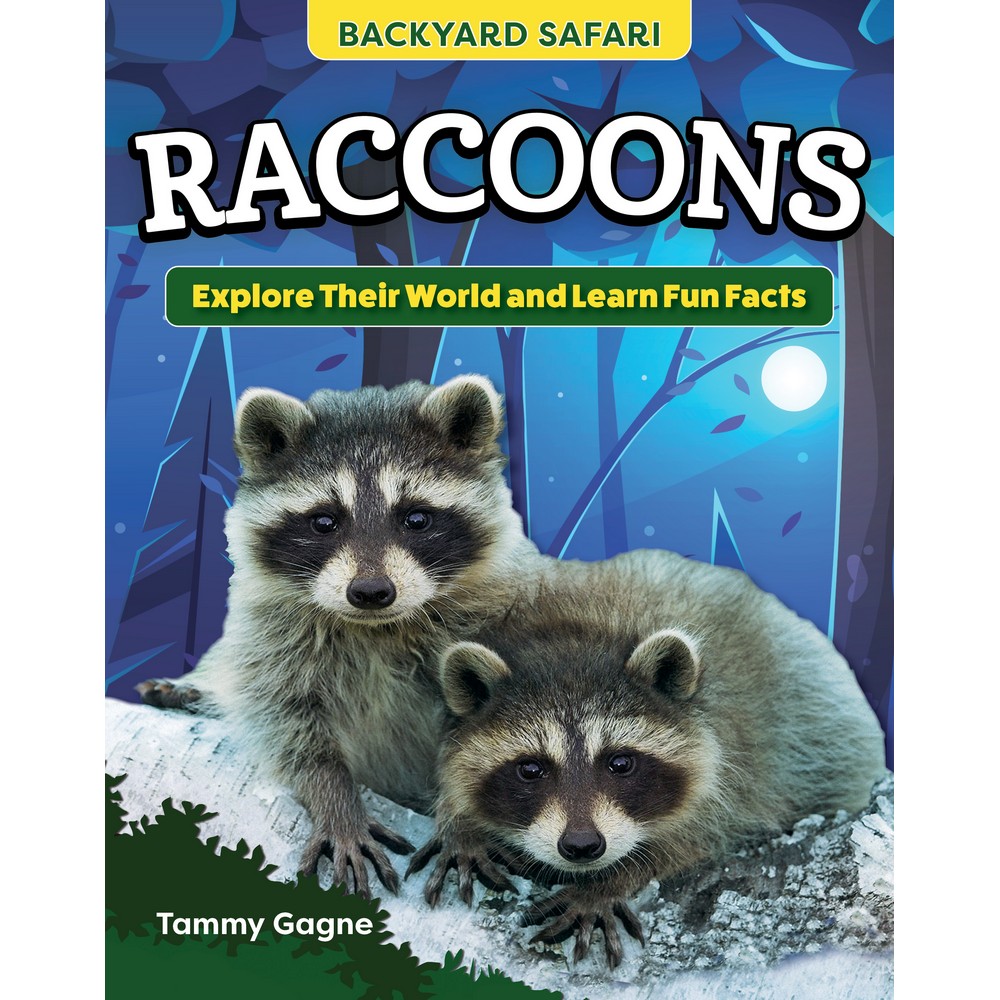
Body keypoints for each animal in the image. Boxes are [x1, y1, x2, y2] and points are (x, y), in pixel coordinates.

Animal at [136, 375, 540, 896]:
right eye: (324, 521)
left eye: (416, 518)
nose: (370, 591)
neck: (375, 628)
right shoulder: (273, 635)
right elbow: (287, 722)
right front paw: (335, 797)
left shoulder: (495, 620)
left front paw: (464, 823)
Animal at [414, 550, 886, 965]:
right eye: (531, 769)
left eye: (620, 763)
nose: (582, 846)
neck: (578, 629)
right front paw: (461, 823)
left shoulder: (746, 758)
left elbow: (701, 834)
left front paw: (609, 882)